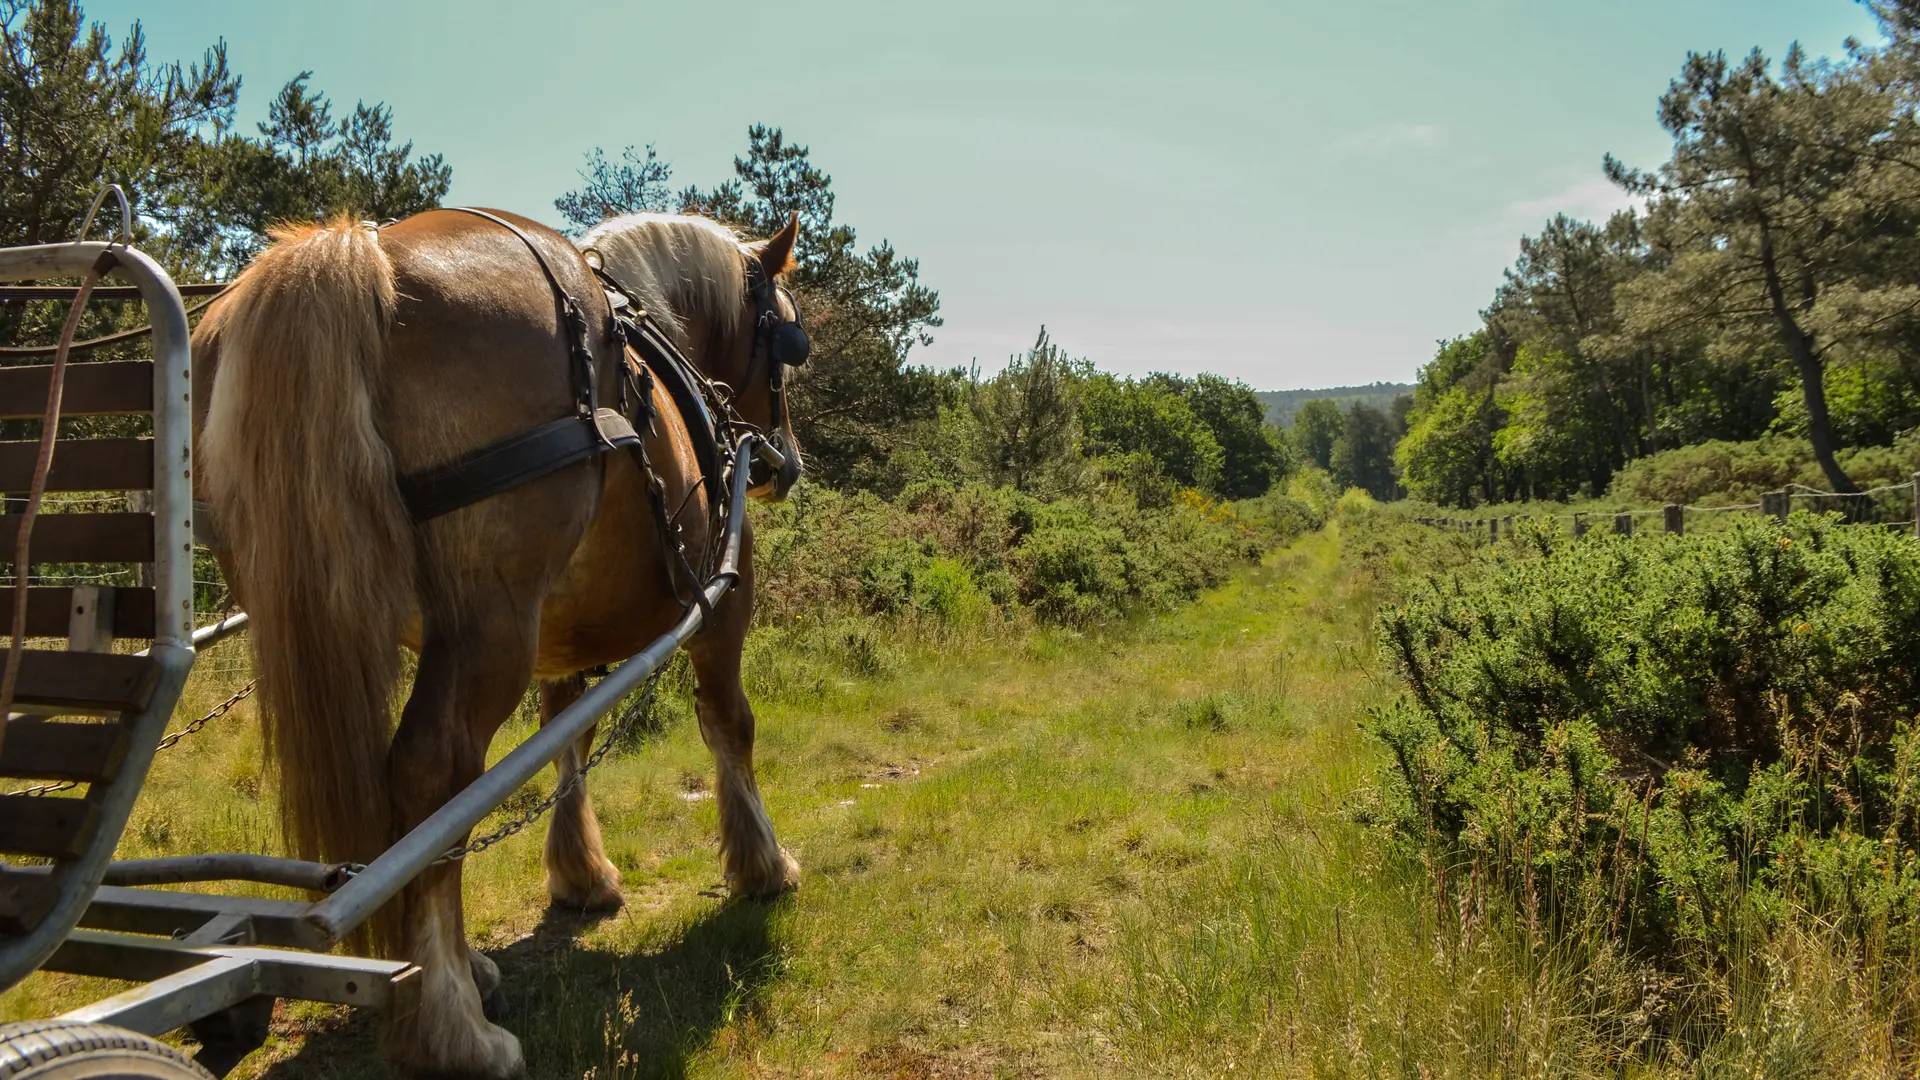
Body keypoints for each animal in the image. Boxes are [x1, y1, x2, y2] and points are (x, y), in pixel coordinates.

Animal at [187, 205, 802, 1068]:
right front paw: (761, 864)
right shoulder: (724, 598)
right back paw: (453, 1023)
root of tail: (360, 253)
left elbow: (565, 744)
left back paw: (441, 970)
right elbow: (729, 725)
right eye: (785, 337)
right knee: (431, 777)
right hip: (490, 625)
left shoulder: (560, 634)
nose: (785, 460)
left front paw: (580, 876)